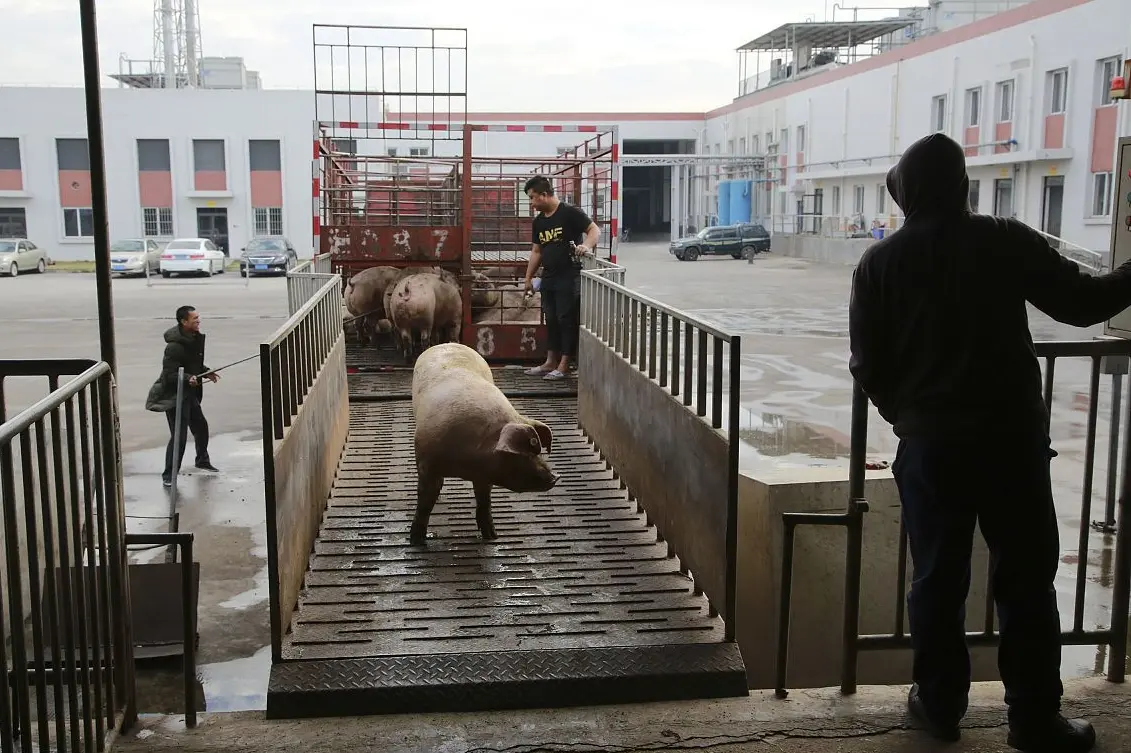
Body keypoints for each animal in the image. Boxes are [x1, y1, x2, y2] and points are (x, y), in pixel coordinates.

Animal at [411, 339, 560, 540]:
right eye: (523, 453)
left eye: (538, 451)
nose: (555, 477)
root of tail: (446, 343)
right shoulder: (426, 464)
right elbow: (424, 504)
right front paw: (415, 540)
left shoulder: (484, 474)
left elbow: (484, 501)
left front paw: (492, 536)